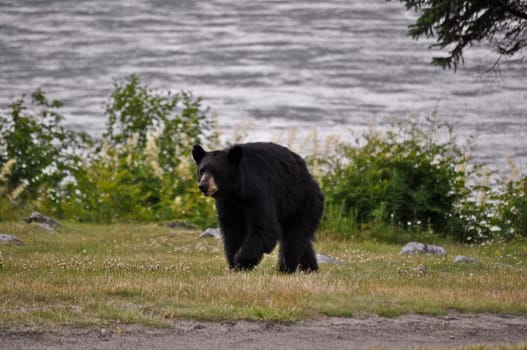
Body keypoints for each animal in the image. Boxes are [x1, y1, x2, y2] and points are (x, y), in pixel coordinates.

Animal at [192, 142, 324, 274]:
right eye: (201, 171)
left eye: (216, 171)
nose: (203, 186)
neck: (236, 192)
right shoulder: (227, 203)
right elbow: (232, 230)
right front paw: (234, 265)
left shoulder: (257, 192)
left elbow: (264, 228)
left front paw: (241, 262)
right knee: (302, 241)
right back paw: (310, 268)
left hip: (302, 202)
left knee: (294, 238)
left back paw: (285, 269)